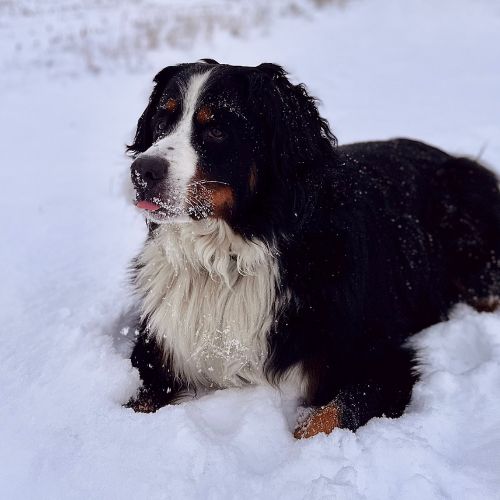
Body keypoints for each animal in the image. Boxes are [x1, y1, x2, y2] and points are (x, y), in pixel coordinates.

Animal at [123, 57, 498, 434]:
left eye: (216, 129)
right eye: (162, 120)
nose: (143, 171)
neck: (228, 258)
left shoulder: (380, 359)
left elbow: (326, 418)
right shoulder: (158, 350)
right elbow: (139, 403)